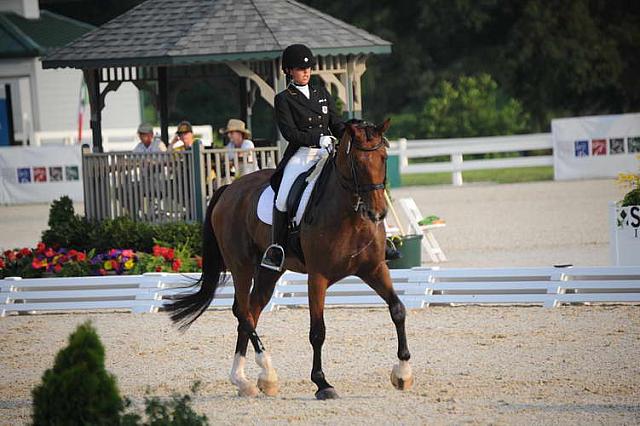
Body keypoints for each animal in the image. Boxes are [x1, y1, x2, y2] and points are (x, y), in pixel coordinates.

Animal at [166, 119, 416, 400]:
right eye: (358, 163)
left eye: (383, 158)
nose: (377, 213)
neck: (349, 215)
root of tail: (229, 188)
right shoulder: (317, 277)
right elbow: (318, 331)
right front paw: (322, 383)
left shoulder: (374, 268)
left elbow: (397, 310)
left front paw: (403, 373)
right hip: (241, 266)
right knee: (243, 311)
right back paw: (265, 372)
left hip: (269, 270)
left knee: (251, 310)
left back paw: (245, 380)